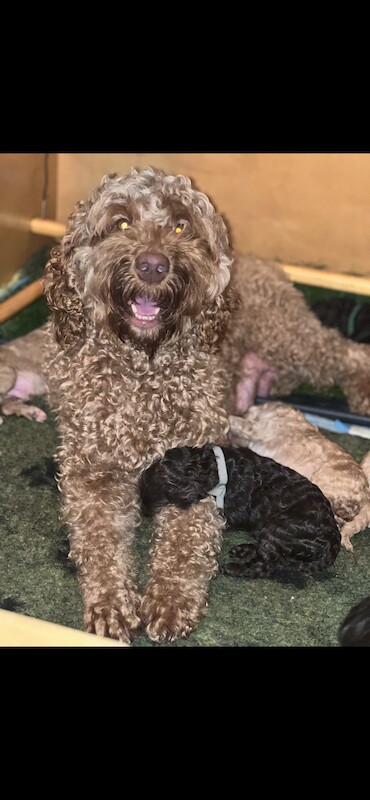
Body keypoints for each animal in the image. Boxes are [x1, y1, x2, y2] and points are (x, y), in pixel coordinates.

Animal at [139, 440, 342, 580]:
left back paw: (234, 568)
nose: (144, 510)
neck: (212, 467)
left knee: (264, 565)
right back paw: (243, 550)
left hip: (279, 528)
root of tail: (333, 540)